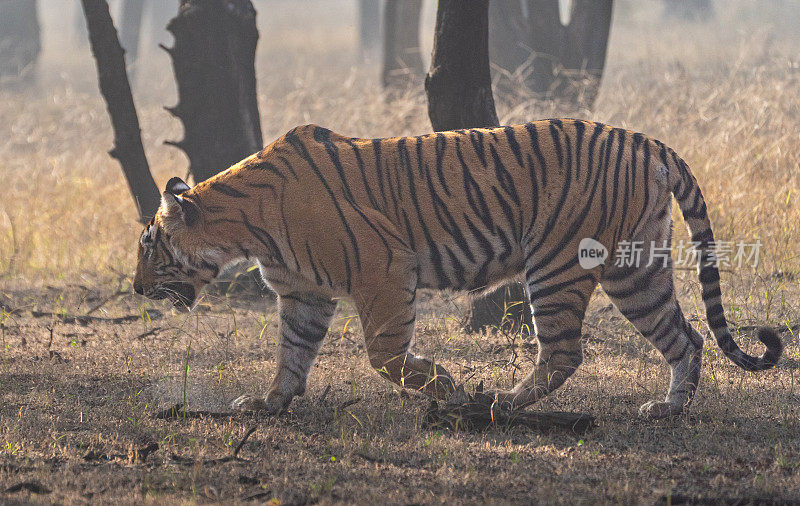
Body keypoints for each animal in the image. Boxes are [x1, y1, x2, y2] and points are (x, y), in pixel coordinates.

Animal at [131, 119, 780, 420]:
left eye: (150, 246)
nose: (135, 289)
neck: (246, 229)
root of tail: (646, 141)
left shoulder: (384, 268)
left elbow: (385, 354)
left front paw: (441, 382)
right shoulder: (304, 294)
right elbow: (291, 356)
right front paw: (268, 404)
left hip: (559, 263)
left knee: (564, 351)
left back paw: (493, 402)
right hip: (636, 268)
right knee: (687, 336)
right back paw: (667, 409)